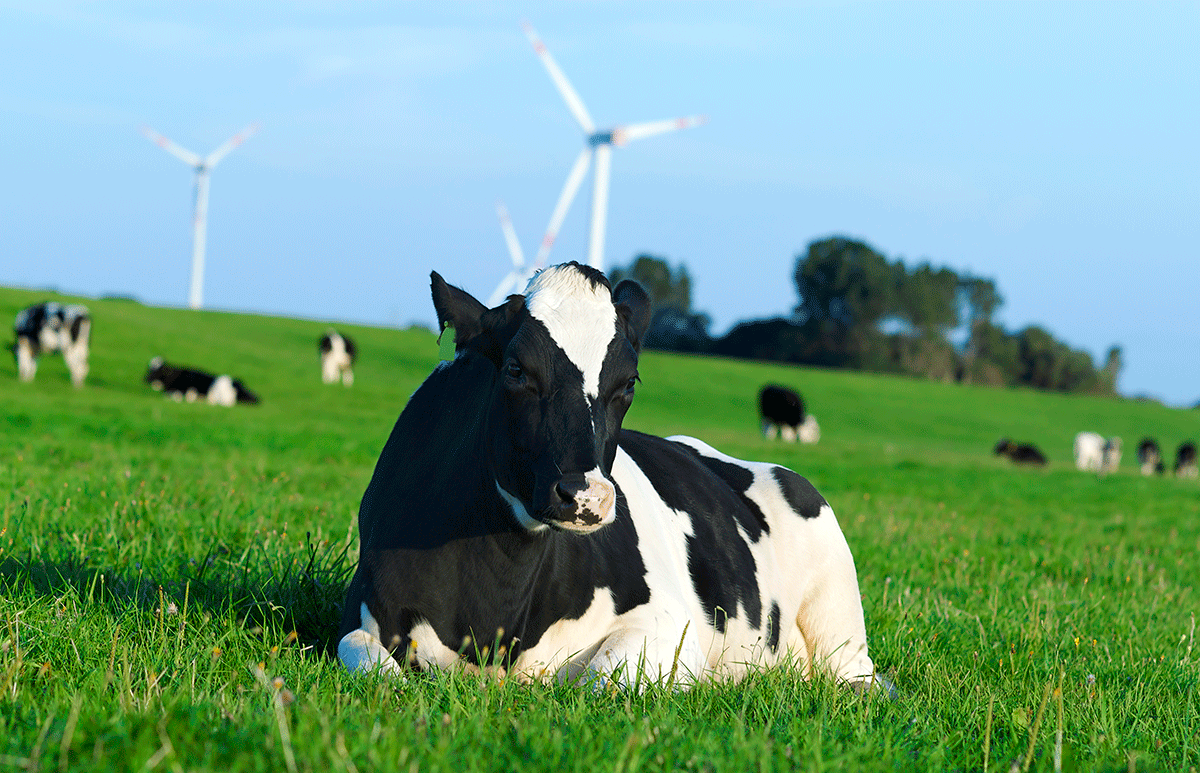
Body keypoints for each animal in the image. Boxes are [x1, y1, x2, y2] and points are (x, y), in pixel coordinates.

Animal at [333, 261, 888, 696]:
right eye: (515, 369)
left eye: (628, 383)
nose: (586, 497)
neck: (492, 605)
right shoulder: (364, 613)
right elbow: (368, 664)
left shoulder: (669, 621)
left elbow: (601, 681)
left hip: (840, 622)